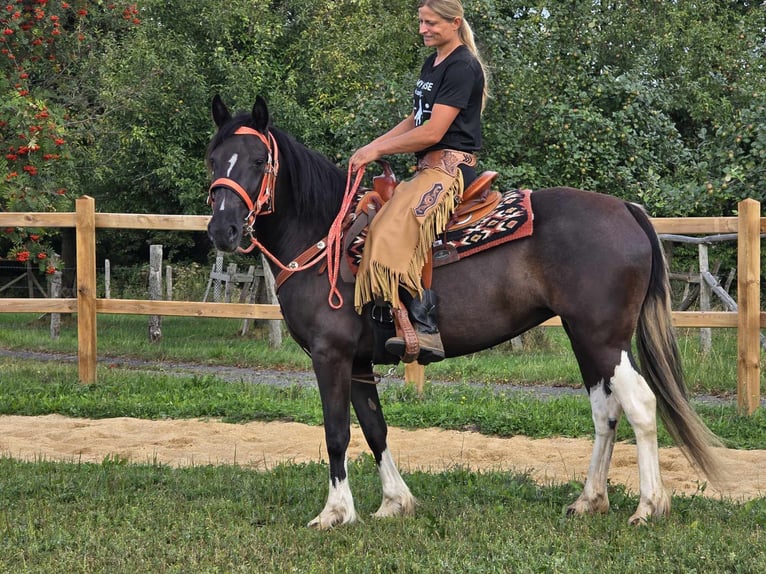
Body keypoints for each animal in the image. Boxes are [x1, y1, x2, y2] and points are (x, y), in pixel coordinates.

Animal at [207, 94, 724, 532]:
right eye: (213, 159)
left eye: (259, 161)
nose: (222, 229)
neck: (324, 237)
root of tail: (625, 208)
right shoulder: (357, 361)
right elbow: (374, 427)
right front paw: (395, 502)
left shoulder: (329, 355)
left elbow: (337, 433)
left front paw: (334, 513)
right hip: (586, 339)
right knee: (605, 410)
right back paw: (589, 500)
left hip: (604, 337)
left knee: (639, 404)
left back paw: (648, 506)